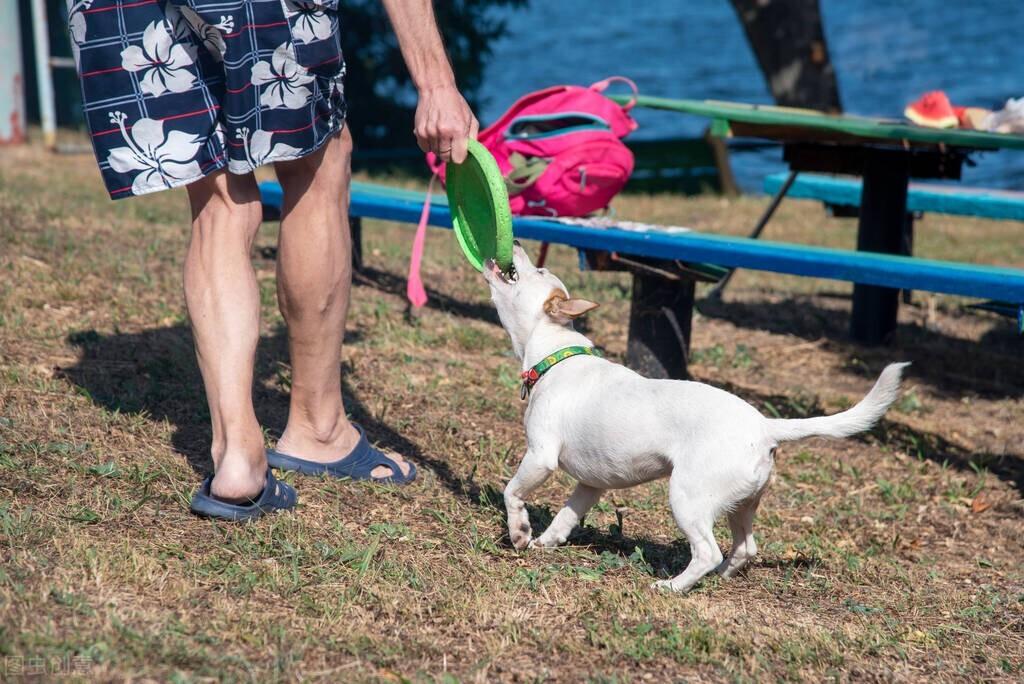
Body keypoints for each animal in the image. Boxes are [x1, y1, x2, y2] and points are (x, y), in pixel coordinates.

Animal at [483, 246, 909, 593]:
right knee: (743, 548)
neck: (555, 356)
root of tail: (765, 426)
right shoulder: (591, 484)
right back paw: (719, 578)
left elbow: (512, 491)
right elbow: (566, 517)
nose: (514, 241)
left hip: (687, 497)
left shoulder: (540, 457)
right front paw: (544, 543)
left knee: (708, 551)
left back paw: (672, 586)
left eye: (538, 270)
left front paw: (519, 534)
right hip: (741, 503)